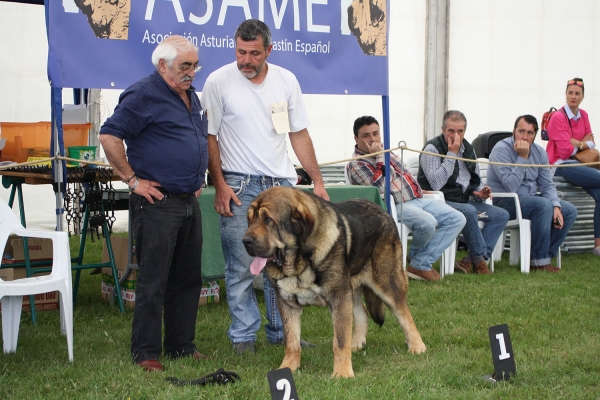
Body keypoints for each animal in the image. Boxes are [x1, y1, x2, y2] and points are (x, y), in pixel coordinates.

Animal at [241, 187, 424, 378]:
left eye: (268, 219)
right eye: (250, 219)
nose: (245, 241)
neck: (300, 262)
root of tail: (382, 211)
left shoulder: (339, 298)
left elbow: (340, 340)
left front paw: (342, 373)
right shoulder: (288, 303)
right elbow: (291, 341)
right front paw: (288, 367)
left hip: (387, 283)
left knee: (404, 314)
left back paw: (417, 346)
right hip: (352, 289)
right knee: (363, 313)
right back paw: (356, 343)